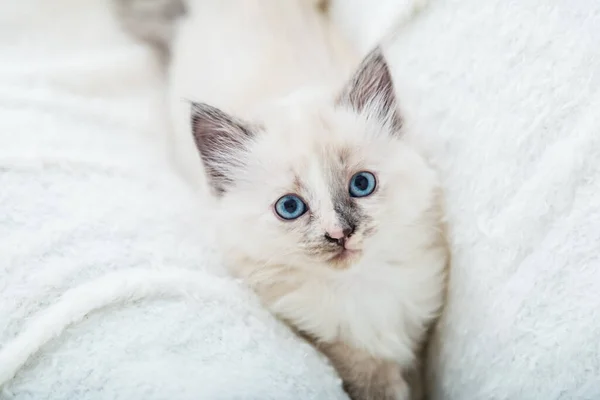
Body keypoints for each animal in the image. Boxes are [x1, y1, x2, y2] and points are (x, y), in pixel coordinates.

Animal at [117, 1, 448, 398]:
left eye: (362, 184)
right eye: (290, 208)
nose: (339, 234)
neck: (360, 289)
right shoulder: (331, 341)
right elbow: (370, 374)